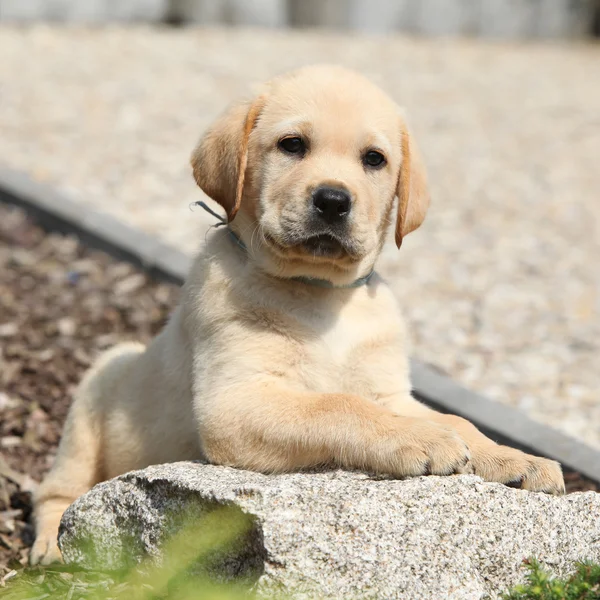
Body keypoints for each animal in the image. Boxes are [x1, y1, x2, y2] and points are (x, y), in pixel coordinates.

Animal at [30, 65, 564, 568]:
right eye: (292, 145)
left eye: (374, 159)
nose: (332, 200)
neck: (319, 294)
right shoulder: (233, 403)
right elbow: (338, 406)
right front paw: (420, 439)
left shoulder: (390, 392)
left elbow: (455, 418)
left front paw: (512, 457)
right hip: (94, 393)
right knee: (57, 494)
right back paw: (52, 547)